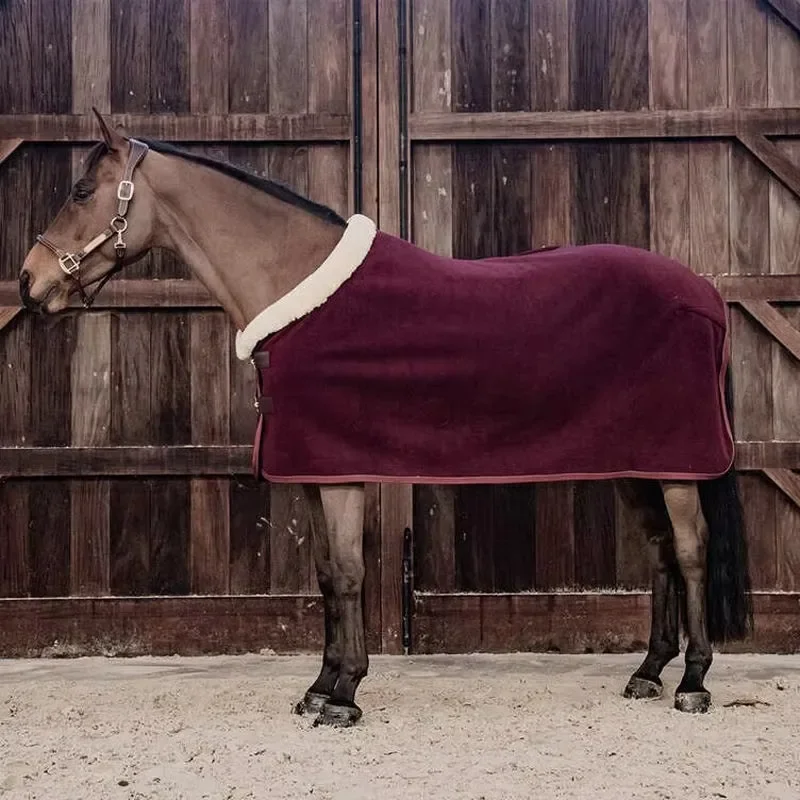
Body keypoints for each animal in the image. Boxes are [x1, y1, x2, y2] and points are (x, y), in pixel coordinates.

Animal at [19, 110, 752, 727]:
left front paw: (343, 696)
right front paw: (319, 687)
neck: (299, 289)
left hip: (677, 464)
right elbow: (325, 576)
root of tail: (703, 293)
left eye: (81, 190)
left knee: (690, 550)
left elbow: (348, 574)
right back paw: (648, 672)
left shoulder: (341, 474)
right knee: (658, 551)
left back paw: (693, 683)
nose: (29, 284)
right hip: (637, 460)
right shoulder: (313, 473)